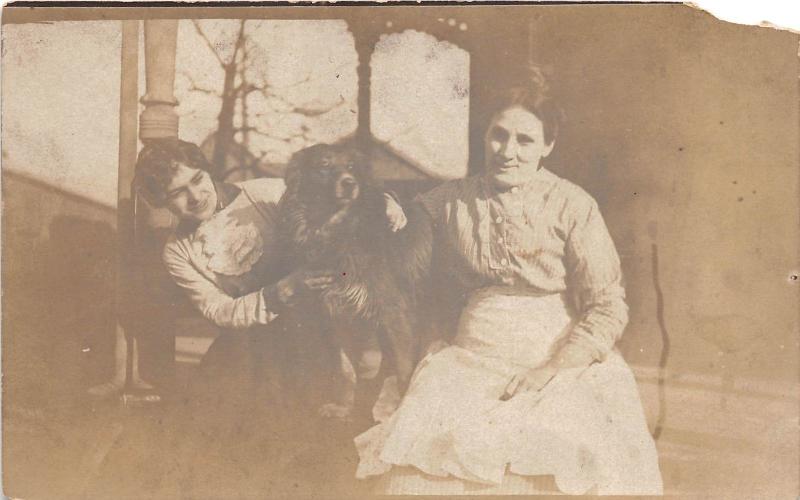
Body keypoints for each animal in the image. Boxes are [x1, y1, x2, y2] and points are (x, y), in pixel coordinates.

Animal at [280, 142, 434, 418]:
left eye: (352, 167)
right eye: (324, 165)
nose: (350, 183)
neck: (339, 232)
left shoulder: (395, 311)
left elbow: (403, 367)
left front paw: (396, 409)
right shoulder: (333, 312)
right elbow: (344, 368)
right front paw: (343, 406)